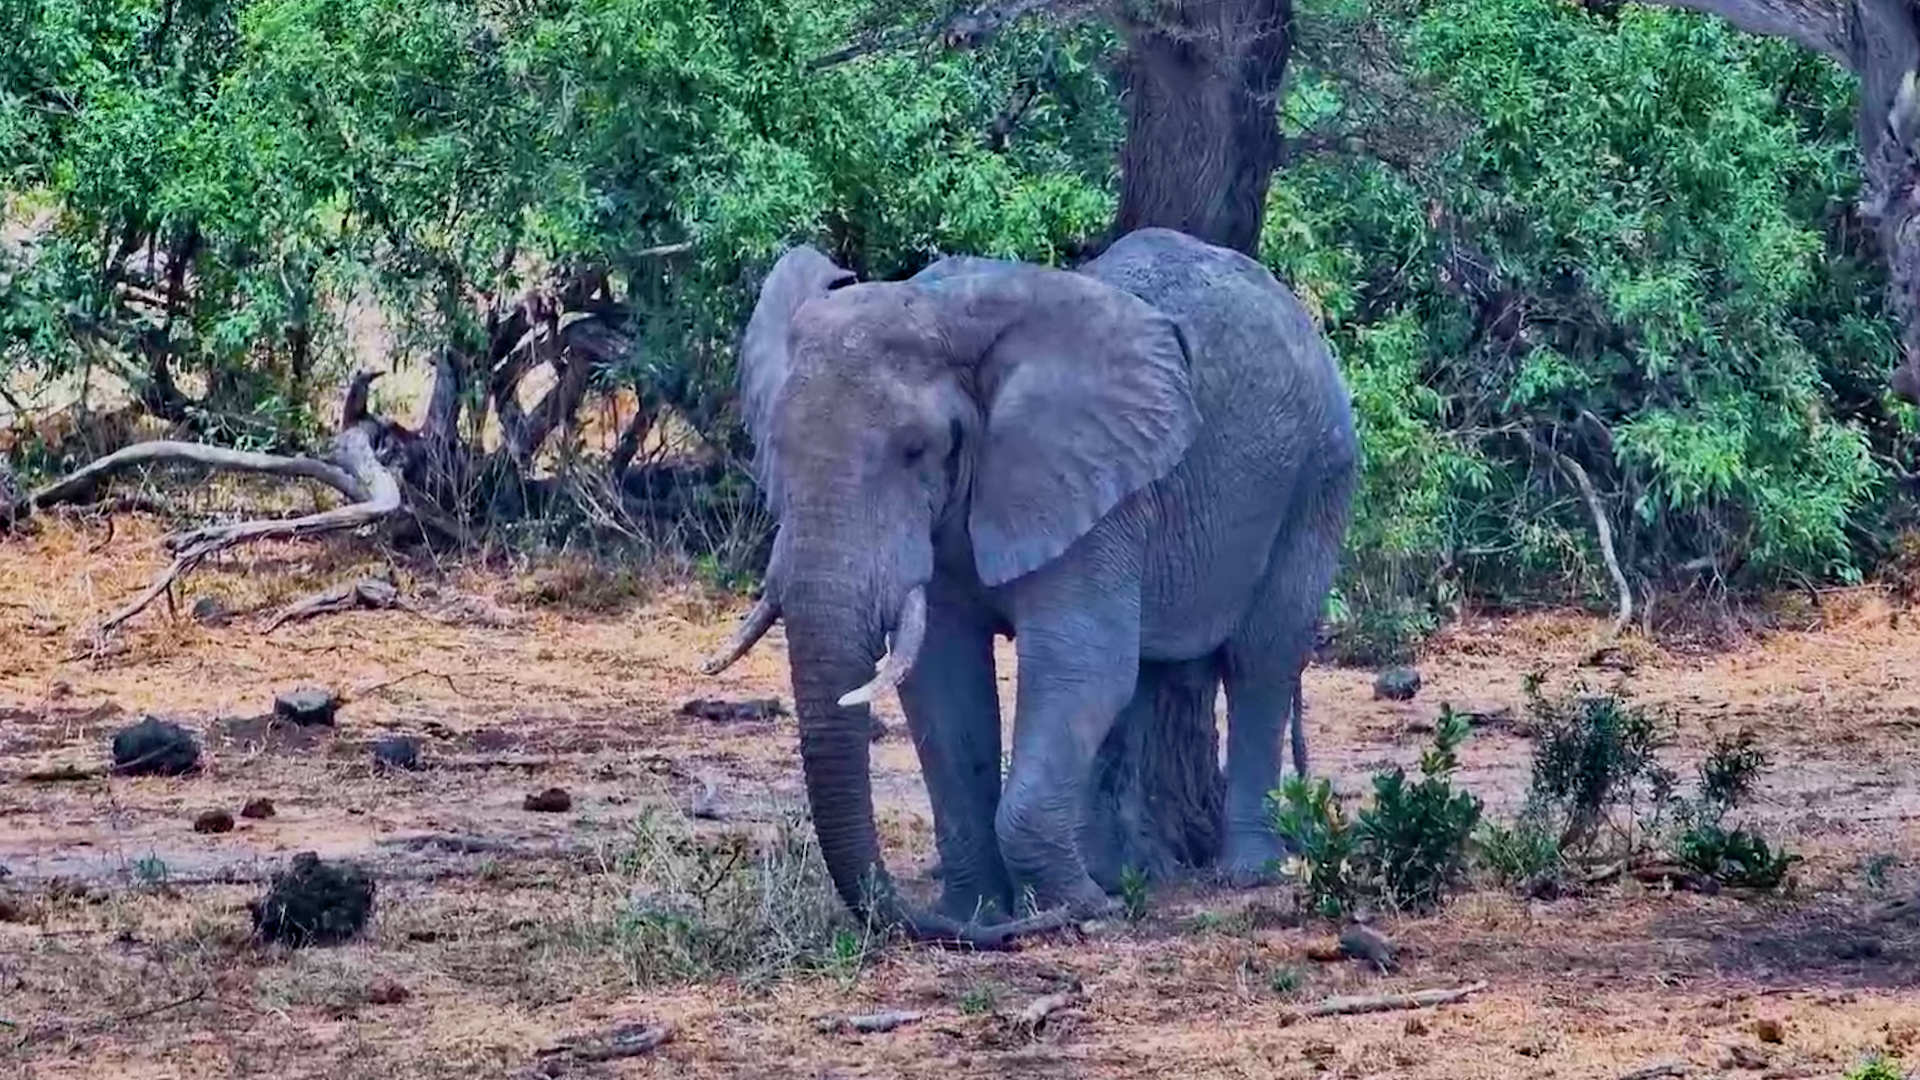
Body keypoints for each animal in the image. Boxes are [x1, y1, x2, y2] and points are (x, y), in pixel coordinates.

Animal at [702, 227, 1358, 946]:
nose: (933, 925)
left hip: (1319, 473)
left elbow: (1077, 668)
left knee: (1259, 660)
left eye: (915, 450)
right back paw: (1127, 874)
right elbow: (944, 684)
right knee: (1146, 676)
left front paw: (1072, 909)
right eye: (776, 449)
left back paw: (1239, 874)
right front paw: (983, 913)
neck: (941, 312)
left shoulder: (1091, 492)